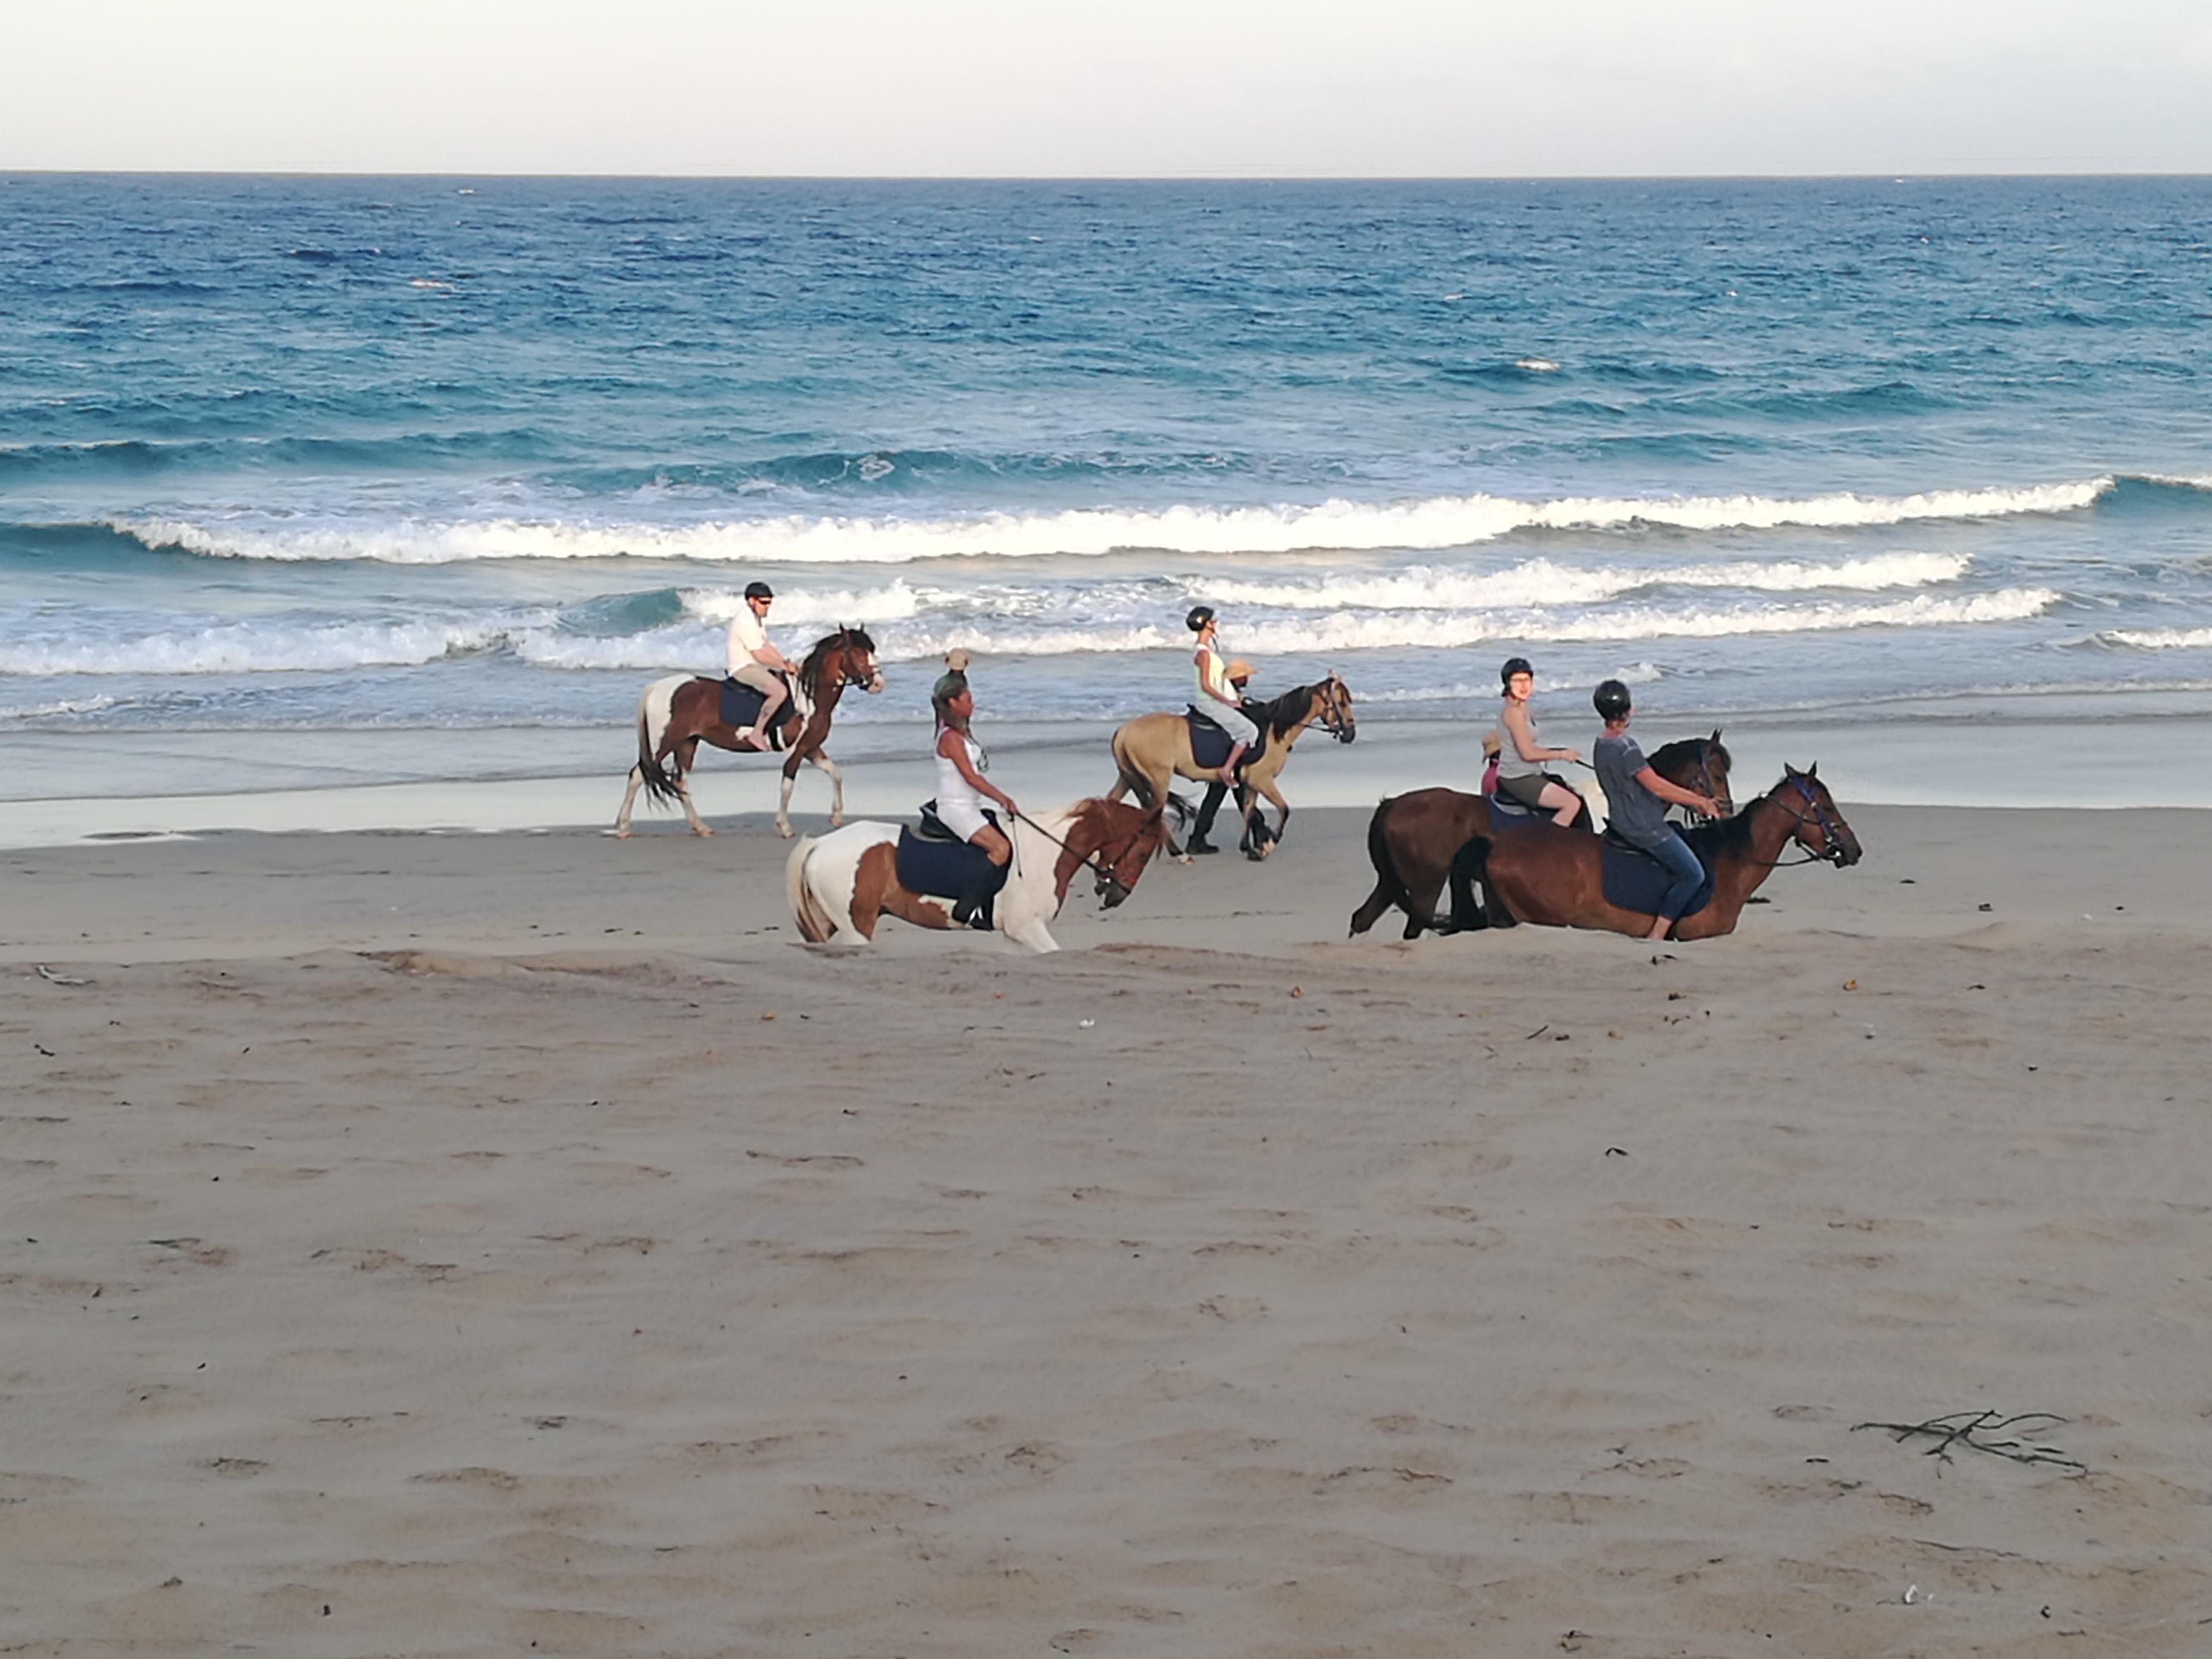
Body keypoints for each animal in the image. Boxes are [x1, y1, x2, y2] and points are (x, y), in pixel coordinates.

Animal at [614, 627, 884, 840]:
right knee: (638, 775)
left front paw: (836, 817)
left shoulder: (811, 748)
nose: (878, 684)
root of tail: (656, 687)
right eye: (858, 654)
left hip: (687, 743)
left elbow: (836, 774)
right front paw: (785, 827)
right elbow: (788, 785)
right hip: (665, 742)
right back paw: (624, 827)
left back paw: (700, 827)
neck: (809, 697)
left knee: (680, 782)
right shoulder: (797, 750)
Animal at [785, 798, 1176, 954]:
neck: (1046, 849)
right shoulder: (1027, 927)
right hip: (857, 927)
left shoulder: (1015, 935)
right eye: (1144, 853)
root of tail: (821, 844)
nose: (1117, 896)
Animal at [1108, 673, 1357, 860]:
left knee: (1113, 802)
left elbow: (1249, 812)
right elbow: (1283, 810)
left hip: (1128, 777)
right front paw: (1267, 845)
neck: (1271, 729)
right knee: (1154, 813)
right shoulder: (1262, 780)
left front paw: (1250, 848)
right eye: (1343, 703)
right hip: (1158, 779)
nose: (1350, 734)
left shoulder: (1251, 784)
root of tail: (1124, 730)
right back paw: (1178, 854)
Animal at [1349, 732, 1733, 940]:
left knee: (1362, 919)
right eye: (1716, 773)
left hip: (1395, 883)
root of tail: (1392, 805)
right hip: (1426, 885)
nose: (1726, 811)